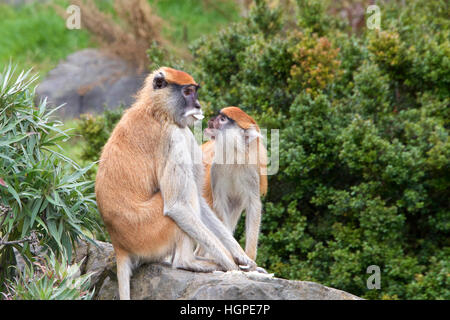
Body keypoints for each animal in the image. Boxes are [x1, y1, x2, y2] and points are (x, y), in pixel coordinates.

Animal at [95, 67, 256, 300]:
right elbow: (177, 206)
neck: (157, 109)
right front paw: (230, 264)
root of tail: (119, 245)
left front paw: (242, 257)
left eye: (195, 92)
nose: (198, 105)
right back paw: (187, 262)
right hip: (149, 230)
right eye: (187, 92)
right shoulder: (172, 137)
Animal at [200, 106, 268, 262]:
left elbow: (254, 205)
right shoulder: (216, 170)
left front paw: (249, 256)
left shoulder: (250, 171)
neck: (234, 156)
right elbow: (219, 203)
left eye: (222, 119)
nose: (211, 120)